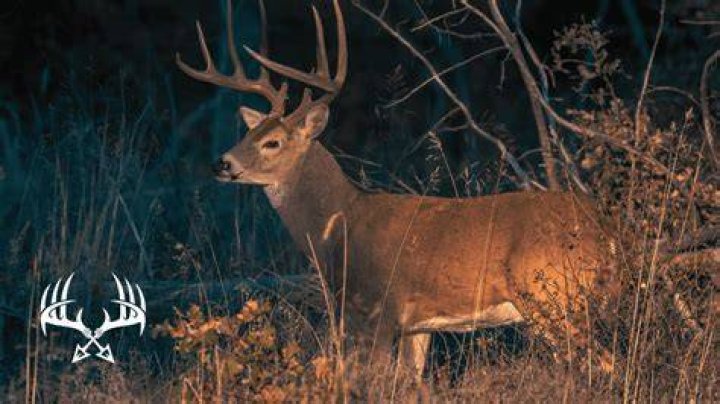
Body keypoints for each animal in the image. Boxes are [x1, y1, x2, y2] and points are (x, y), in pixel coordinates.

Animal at [177, 0, 621, 378]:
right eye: (249, 132)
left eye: (273, 142)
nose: (222, 163)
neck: (340, 226)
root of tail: (606, 230)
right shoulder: (417, 324)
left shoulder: (378, 309)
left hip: (553, 296)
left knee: (603, 363)